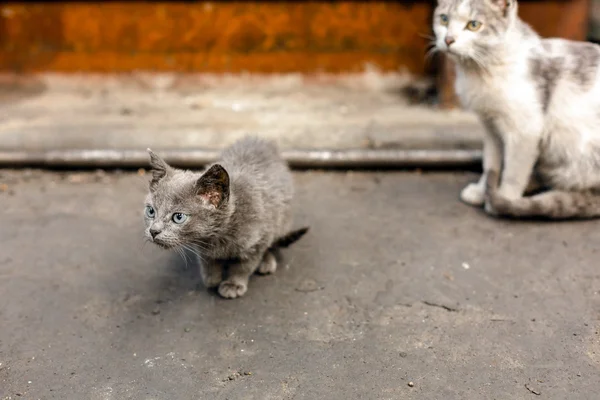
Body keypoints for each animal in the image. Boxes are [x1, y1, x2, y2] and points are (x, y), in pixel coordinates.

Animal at [142, 137, 308, 296]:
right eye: (151, 211)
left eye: (178, 217)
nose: (153, 231)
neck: (218, 236)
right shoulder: (204, 247)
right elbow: (209, 262)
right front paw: (212, 279)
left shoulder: (257, 241)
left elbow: (244, 266)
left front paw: (233, 284)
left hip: (281, 219)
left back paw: (266, 262)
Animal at [434, 0, 600, 219]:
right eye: (444, 19)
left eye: (473, 25)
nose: (448, 39)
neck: (481, 71)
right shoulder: (491, 127)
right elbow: (491, 163)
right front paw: (481, 191)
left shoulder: (525, 130)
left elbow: (514, 170)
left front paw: (504, 197)